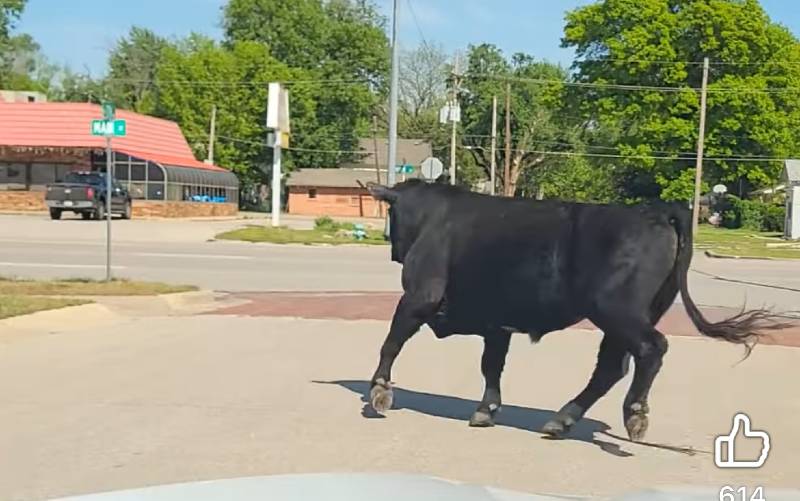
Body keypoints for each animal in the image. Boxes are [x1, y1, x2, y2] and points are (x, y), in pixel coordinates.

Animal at [365, 178, 787, 442]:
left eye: (391, 216)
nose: (391, 248)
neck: (433, 218)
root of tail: (652, 210)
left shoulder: (420, 295)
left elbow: (391, 341)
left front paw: (379, 391)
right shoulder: (497, 323)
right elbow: (492, 366)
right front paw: (486, 410)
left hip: (616, 309)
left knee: (651, 349)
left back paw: (634, 413)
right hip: (629, 317)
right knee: (611, 368)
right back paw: (562, 418)